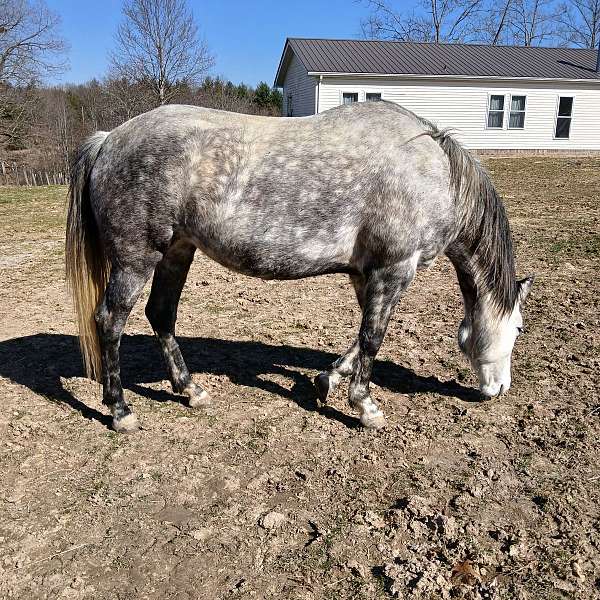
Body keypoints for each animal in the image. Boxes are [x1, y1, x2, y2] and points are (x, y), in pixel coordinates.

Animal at [67, 102, 536, 432]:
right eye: (517, 328)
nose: (499, 389)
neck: (430, 171)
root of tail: (109, 139)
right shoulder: (394, 270)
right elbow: (373, 339)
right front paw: (365, 407)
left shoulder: (365, 274)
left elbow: (360, 338)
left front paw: (327, 380)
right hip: (136, 258)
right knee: (110, 321)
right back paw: (120, 410)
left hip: (176, 252)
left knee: (161, 315)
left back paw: (191, 390)